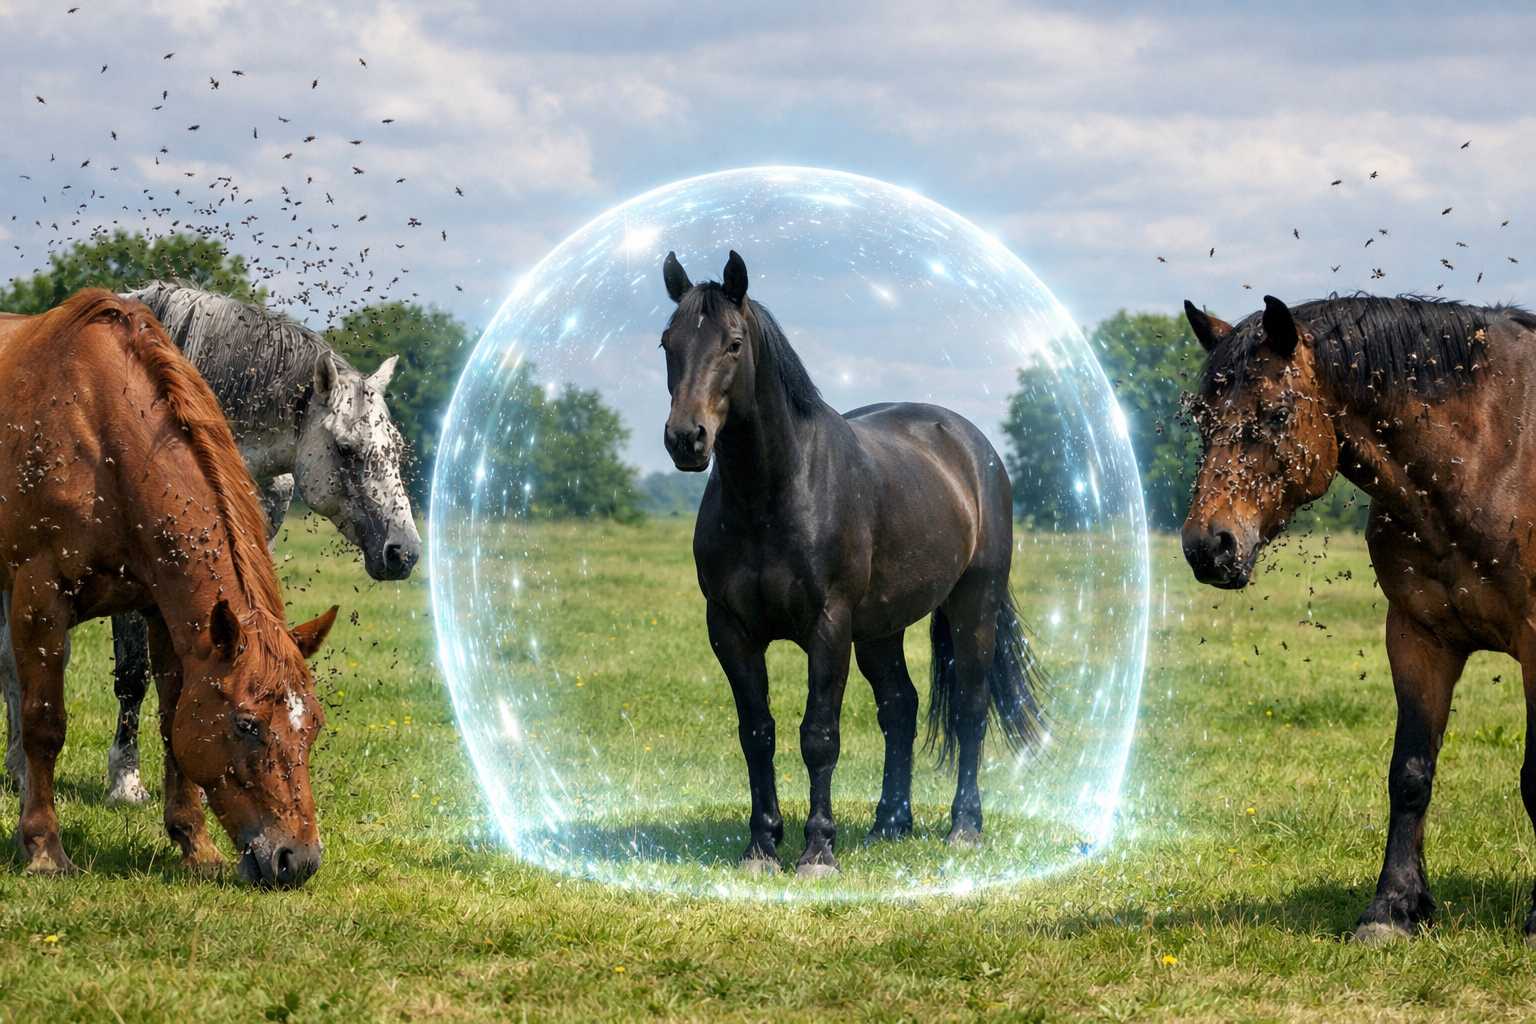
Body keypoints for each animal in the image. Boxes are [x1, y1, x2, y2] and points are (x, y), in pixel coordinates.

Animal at [657, 251, 1046, 876]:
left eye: (734, 344)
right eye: (667, 342)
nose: (686, 439)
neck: (773, 494)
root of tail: (972, 446)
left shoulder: (829, 628)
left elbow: (819, 735)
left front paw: (818, 851)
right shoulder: (730, 630)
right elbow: (757, 733)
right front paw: (762, 847)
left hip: (974, 605)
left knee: (969, 708)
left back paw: (964, 827)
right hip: (881, 629)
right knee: (900, 709)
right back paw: (890, 824)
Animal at [1181, 291, 1536, 942]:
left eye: (1275, 415)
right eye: (1202, 420)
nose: (1208, 547)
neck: (1490, 453)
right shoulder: (1418, 638)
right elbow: (1410, 774)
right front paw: (1393, 909)